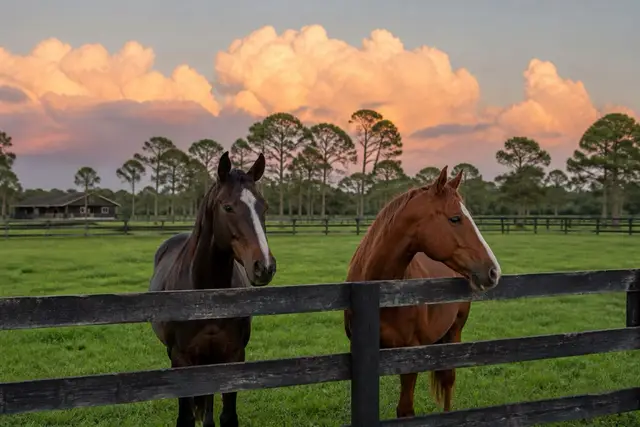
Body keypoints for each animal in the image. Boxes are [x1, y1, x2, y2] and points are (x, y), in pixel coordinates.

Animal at [149, 151, 276, 427]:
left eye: (264, 207)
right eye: (228, 207)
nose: (264, 266)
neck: (206, 298)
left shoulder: (234, 355)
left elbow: (227, 416)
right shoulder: (181, 359)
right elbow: (185, 417)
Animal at [344, 165, 501, 418]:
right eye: (455, 218)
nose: (494, 271)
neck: (382, 295)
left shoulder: (410, 354)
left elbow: (405, 410)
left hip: (455, 331)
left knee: (448, 379)